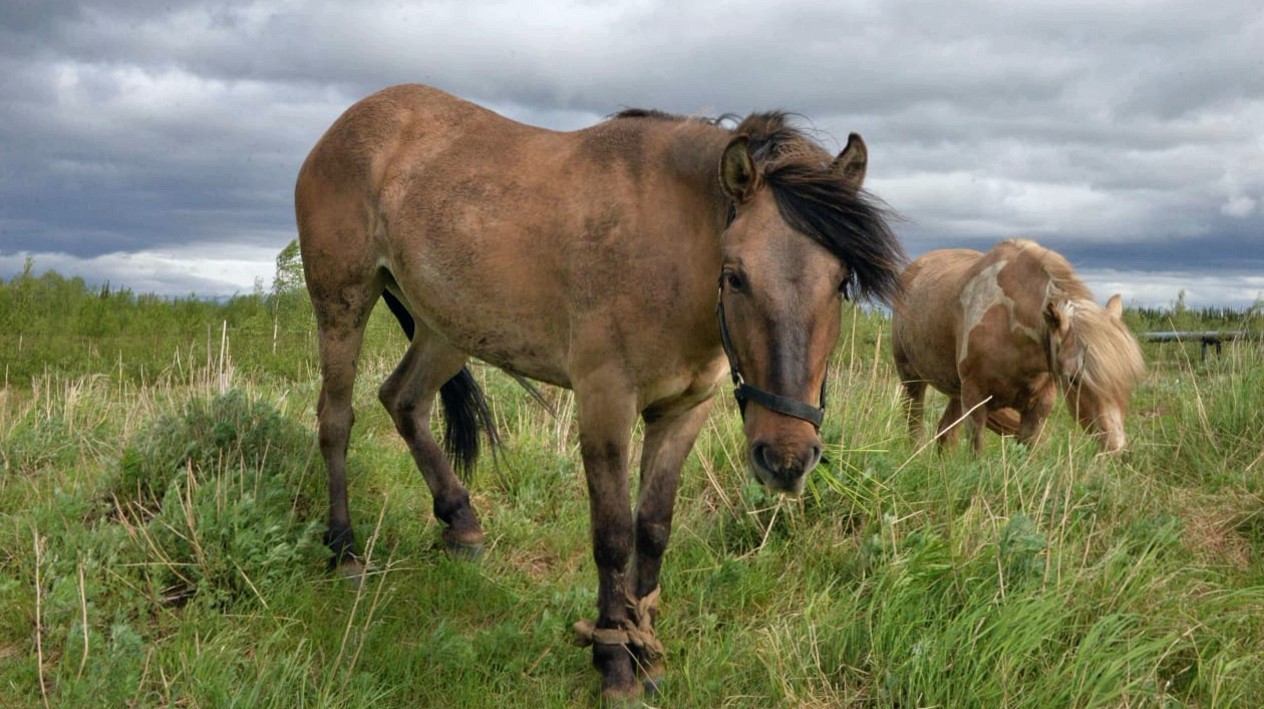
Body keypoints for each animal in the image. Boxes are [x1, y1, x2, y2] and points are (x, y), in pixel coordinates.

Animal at [295, 84, 910, 697]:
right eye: (735, 276)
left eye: (841, 282)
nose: (786, 459)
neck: (668, 247)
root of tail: (347, 125)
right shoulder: (605, 406)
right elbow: (613, 535)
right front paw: (614, 658)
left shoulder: (683, 412)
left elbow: (653, 528)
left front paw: (646, 651)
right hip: (343, 303)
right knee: (336, 419)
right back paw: (344, 551)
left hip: (446, 329)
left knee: (403, 400)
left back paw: (461, 525)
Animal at [889, 238, 1147, 452]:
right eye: (1073, 378)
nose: (1115, 448)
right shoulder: (975, 400)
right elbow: (976, 454)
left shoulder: (1037, 409)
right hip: (912, 379)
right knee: (915, 428)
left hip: (955, 392)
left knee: (945, 436)